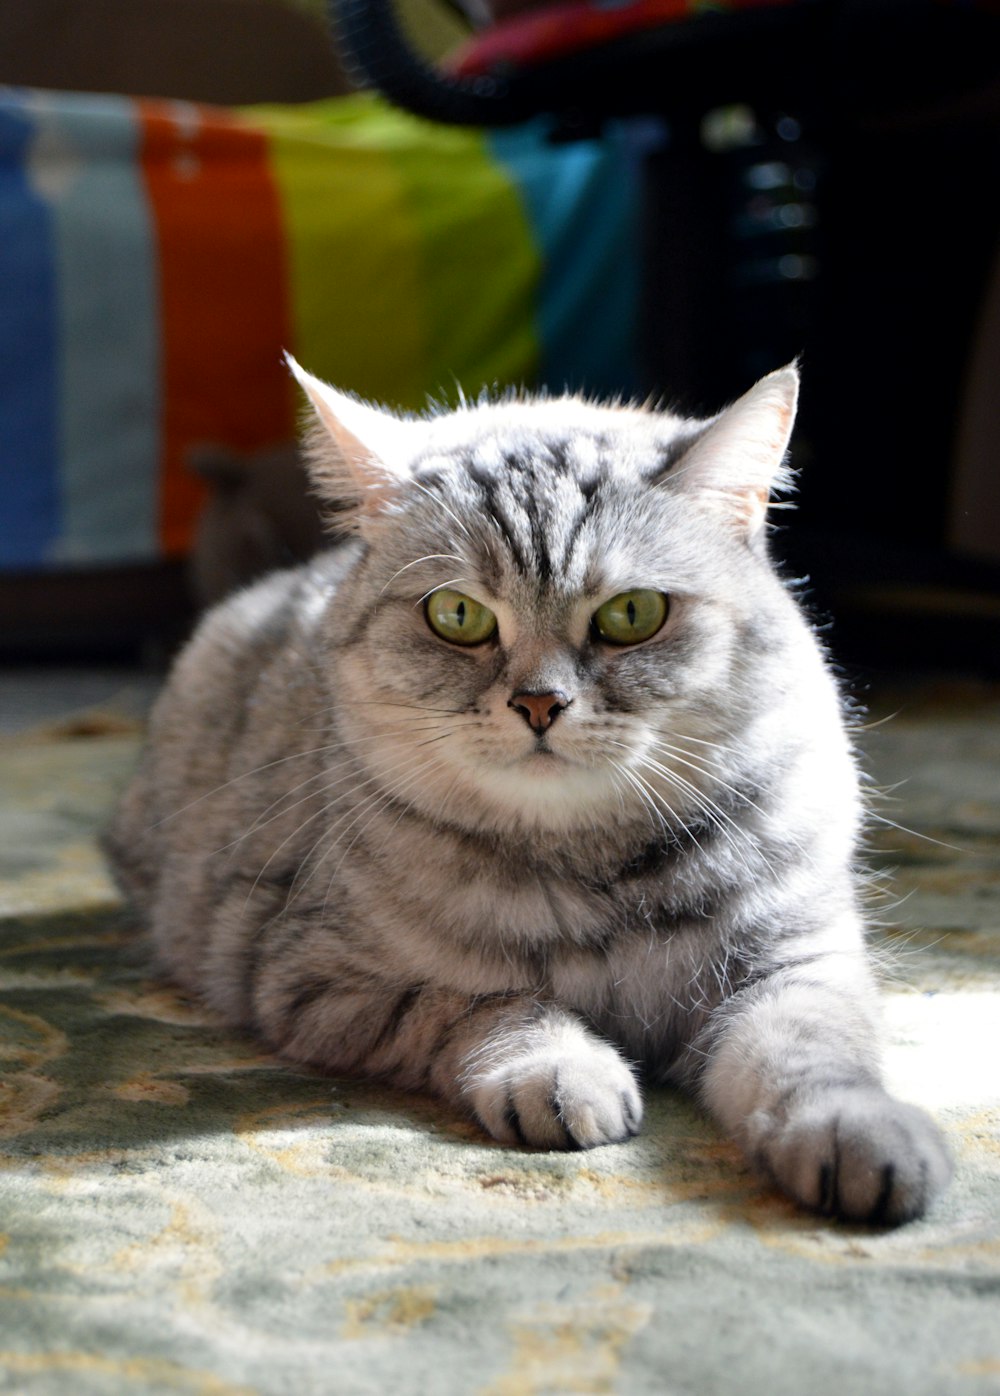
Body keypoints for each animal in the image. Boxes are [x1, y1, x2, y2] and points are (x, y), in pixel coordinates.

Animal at [107, 357, 955, 1222]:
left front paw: (858, 1131)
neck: (593, 866)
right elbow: (492, 1004)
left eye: (632, 613)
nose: (540, 703)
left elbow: (811, 1052)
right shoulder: (317, 980)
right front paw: (560, 1069)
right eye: (456, 615)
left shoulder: (795, 959)